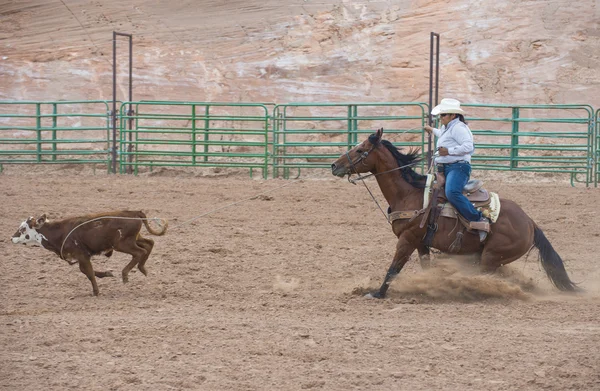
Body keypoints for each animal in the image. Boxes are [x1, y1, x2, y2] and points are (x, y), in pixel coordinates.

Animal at [9, 211, 169, 298]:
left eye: (23, 229)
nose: (12, 238)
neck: (59, 232)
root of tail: (134, 213)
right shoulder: (82, 257)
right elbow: (85, 271)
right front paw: (107, 274)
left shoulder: (82, 255)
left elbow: (89, 273)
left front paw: (96, 292)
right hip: (134, 239)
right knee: (149, 244)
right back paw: (142, 269)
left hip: (123, 244)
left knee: (140, 252)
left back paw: (125, 274)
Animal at [330, 127, 580, 298]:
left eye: (360, 150)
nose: (334, 166)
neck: (408, 193)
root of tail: (530, 223)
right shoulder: (421, 243)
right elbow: (425, 266)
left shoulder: (407, 239)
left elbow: (394, 268)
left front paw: (377, 293)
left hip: (491, 256)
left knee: (488, 275)